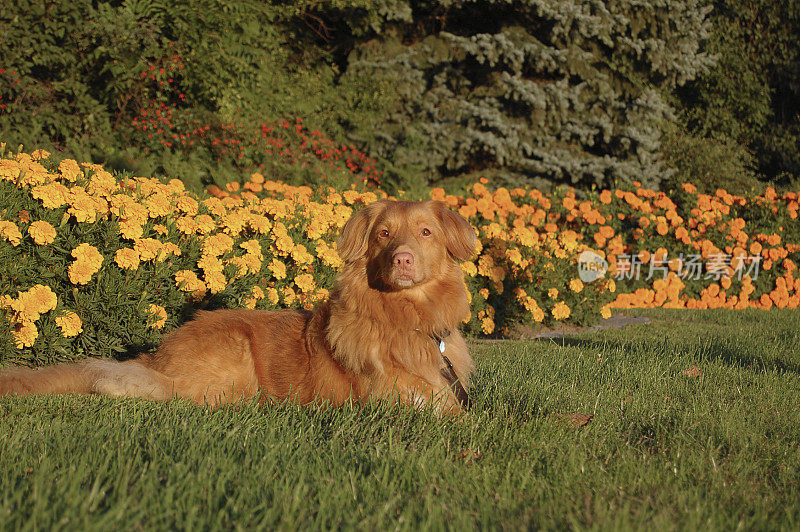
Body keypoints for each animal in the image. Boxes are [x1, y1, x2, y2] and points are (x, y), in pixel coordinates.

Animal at [0, 202, 476, 414]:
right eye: (383, 234)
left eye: (426, 232)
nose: (403, 259)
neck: (406, 320)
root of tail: (160, 354)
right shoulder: (392, 401)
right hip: (233, 354)